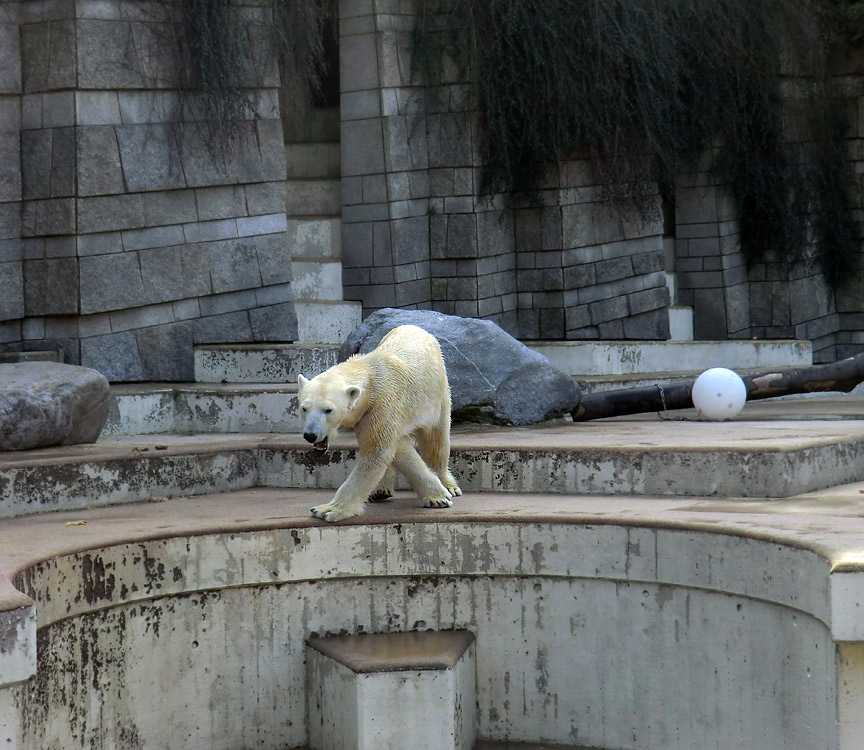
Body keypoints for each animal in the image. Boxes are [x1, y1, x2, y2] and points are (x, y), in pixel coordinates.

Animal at [296, 324, 462, 524]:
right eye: (304, 408)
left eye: (328, 410)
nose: (310, 435)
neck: (369, 374)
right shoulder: (368, 414)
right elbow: (397, 450)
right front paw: (438, 496)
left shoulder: (381, 404)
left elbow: (377, 452)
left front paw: (327, 510)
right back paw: (381, 490)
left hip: (438, 393)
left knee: (436, 439)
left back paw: (449, 483)